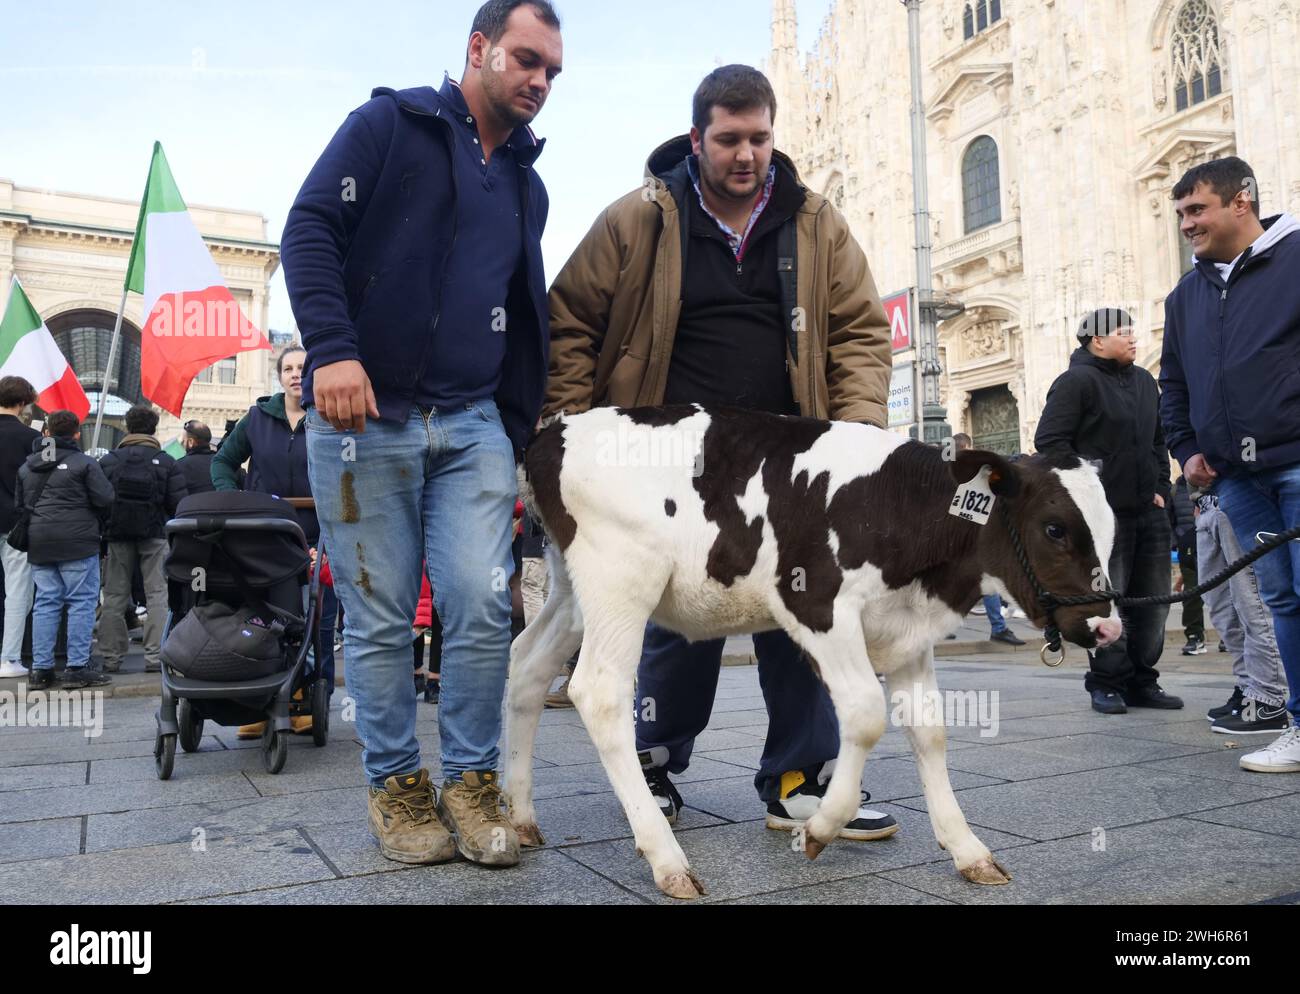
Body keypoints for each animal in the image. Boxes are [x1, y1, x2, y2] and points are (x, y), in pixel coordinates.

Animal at [501, 402, 1123, 899]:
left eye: (1109, 530)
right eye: (1054, 529)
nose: (1108, 627)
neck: (895, 504)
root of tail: (553, 430)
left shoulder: (905, 631)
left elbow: (929, 731)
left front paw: (969, 850)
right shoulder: (815, 604)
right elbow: (866, 716)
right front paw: (820, 828)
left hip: (572, 588)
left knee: (528, 663)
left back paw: (522, 817)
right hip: (621, 578)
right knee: (599, 691)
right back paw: (666, 859)